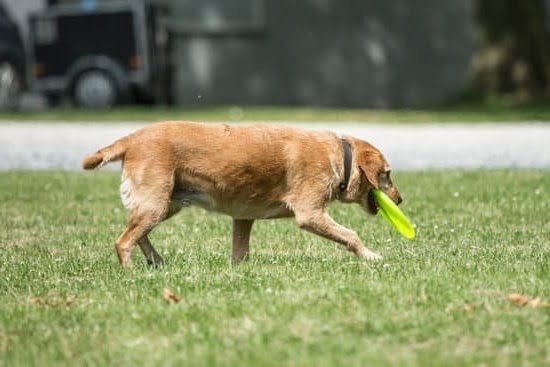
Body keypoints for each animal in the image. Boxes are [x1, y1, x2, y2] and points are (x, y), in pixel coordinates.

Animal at [82, 122, 404, 266]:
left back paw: (155, 261)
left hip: (166, 203)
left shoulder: (243, 217)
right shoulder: (309, 213)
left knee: (139, 234)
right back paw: (131, 270)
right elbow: (351, 235)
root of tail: (131, 138)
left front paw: (240, 270)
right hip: (156, 203)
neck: (341, 157)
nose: (400, 200)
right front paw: (371, 256)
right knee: (124, 241)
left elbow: (240, 250)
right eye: (387, 175)